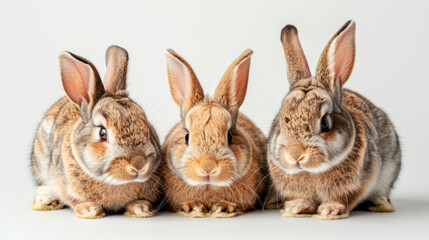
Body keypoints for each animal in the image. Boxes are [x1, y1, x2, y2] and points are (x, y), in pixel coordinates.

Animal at [30, 45, 162, 219]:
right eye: (102, 133)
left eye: (147, 126)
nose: (139, 164)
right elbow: (74, 200)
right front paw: (89, 210)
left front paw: (141, 208)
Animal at [266, 20, 400, 219]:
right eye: (281, 123)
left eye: (325, 123)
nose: (295, 154)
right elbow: (302, 198)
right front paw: (296, 209)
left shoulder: (356, 185)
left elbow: (341, 199)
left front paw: (329, 211)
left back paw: (380, 203)